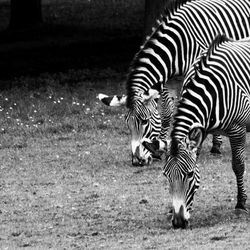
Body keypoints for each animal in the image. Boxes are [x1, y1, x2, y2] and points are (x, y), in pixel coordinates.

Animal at [97, 0, 250, 166]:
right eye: (127, 123)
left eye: (144, 121)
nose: (137, 161)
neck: (178, 45)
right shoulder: (166, 80)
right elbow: (166, 112)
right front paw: (160, 150)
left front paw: (207, 144)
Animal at [163, 34, 250, 229]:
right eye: (166, 176)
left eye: (188, 174)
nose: (178, 222)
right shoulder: (200, 132)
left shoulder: (237, 129)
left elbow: (238, 166)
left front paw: (241, 204)